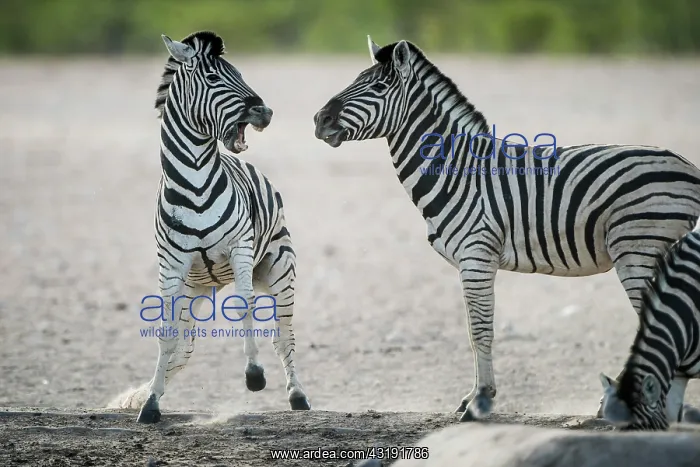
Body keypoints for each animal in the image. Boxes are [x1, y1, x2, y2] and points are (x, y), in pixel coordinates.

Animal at [118, 31, 310, 423]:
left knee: (284, 335)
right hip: (195, 289)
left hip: (279, 269)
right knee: (186, 346)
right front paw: (149, 403)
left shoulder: (239, 249)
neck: (194, 187)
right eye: (212, 77)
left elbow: (244, 307)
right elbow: (165, 333)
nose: (265, 112)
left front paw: (254, 374)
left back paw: (297, 395)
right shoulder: (171, 267)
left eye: (239, 73)